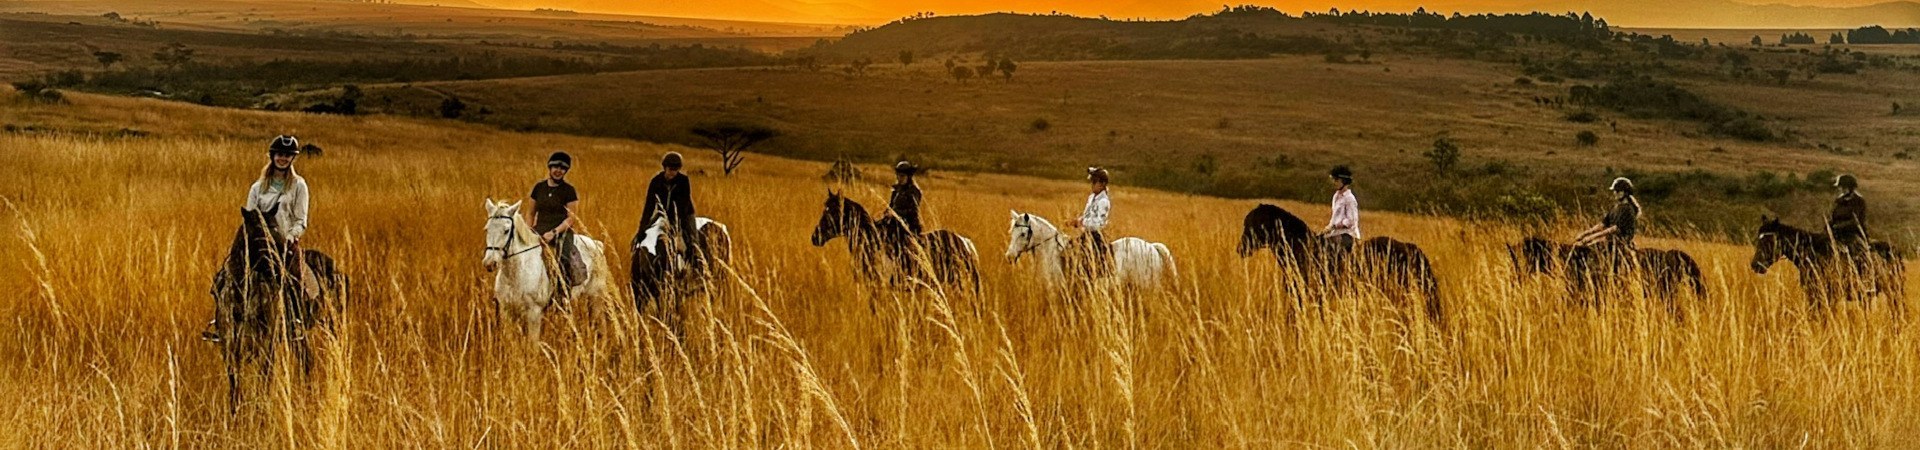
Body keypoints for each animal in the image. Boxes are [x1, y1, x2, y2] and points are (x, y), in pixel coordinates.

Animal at [207, 206, 346, 414]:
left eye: (277, 229)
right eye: (259, 232)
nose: (281, 266)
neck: (244, 295)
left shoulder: (268, 344)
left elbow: (265, 380)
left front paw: (261, 413)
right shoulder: (229, 346)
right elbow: (235, 384)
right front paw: (235, 415)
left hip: (331, 323)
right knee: (307, 360)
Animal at [482, 198, 614, 341]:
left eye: (506, 230)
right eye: (487, 229)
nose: (489, 263)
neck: (517, 273)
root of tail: (597, 244)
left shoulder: (534, 313)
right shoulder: (506, 311)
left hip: (596, 295)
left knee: (601, 323)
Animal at [1003, 211, 1176, 292]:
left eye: (1023, 234)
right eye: (1011, 232)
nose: (1009, 257)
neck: (1051, 251)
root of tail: (1152, 247)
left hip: (1149, 285)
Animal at [1750, 216, 1906, 319]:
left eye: (1770, 240)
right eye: (1759, 238)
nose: (1755, 265)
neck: (1813, 253)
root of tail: (1895, 251)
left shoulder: (1827, 295)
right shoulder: (1814, 294)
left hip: (1893, 291)